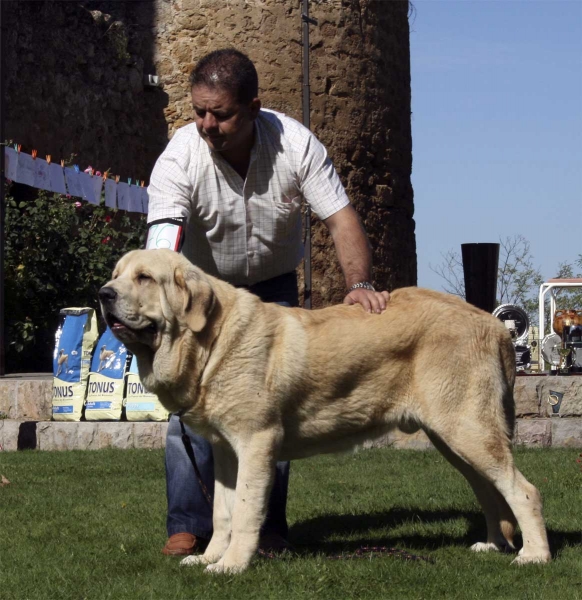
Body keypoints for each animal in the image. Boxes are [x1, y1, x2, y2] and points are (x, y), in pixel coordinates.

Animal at [99, 247, 552, 572]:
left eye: (144, 278)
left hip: (468, 429)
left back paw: (534, 555)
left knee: (524, 490)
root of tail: (494, 325)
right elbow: (222, 512)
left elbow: (244, 510)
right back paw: (492, 545)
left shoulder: (255, 443)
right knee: (490, 490)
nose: (103, 294)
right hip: (454, 439)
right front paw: (209, 557)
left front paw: (230, 567)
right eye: (117, 274)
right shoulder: (227, 452)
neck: (211, 339)